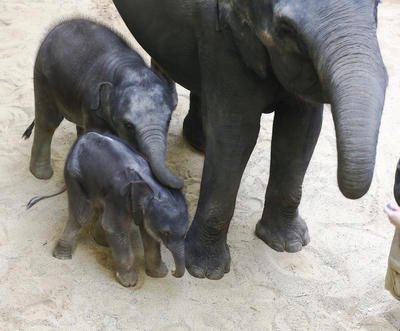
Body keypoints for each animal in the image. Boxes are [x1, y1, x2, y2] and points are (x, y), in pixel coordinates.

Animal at [53, 131, 189, 286]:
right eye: (165, 233)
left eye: (186, 232)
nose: (173, 272)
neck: (152, 185)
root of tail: (84, 136)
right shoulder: (118, 196)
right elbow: (115, 227)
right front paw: (130, 283)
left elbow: (149, 234)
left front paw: (160, 274)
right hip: (75, 176)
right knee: (80, 215)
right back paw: (63, 256)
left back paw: (102, 242)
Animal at [112, 0, 388, 280]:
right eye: (287, 30)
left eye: (377, 7)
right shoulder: (220, 36)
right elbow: (235, 132)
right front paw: (205, 271)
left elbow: (301, 128)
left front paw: (288, 245)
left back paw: (199, 140)